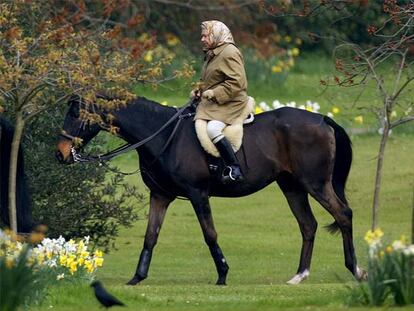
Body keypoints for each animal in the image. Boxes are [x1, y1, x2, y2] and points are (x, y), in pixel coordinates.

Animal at [55, 96, 366, 286]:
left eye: (75, 113)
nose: (60, 154)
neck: (163, 136)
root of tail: (322, 119)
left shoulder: (197, 194)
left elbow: (209, 234)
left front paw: (223, 274)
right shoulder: (160, 196)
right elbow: (151, 236)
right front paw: (137, 277)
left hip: (315, 184)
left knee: (343, 214)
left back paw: (356, 269)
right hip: (292, 187)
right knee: (308, 225)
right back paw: (299, 276)